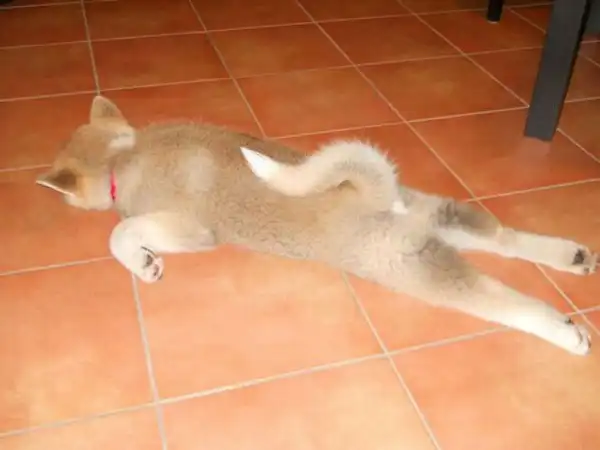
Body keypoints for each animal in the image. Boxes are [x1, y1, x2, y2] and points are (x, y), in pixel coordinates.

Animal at [36, 95, 597, 356]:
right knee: (506, 240)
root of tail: (373, 193)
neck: (124, 154)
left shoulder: (191, 229)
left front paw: (144, 264)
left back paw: (565, 333)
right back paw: (571, 255)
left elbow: (121, 233)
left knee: (506, 302)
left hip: (411, 264)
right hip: (437, 217)